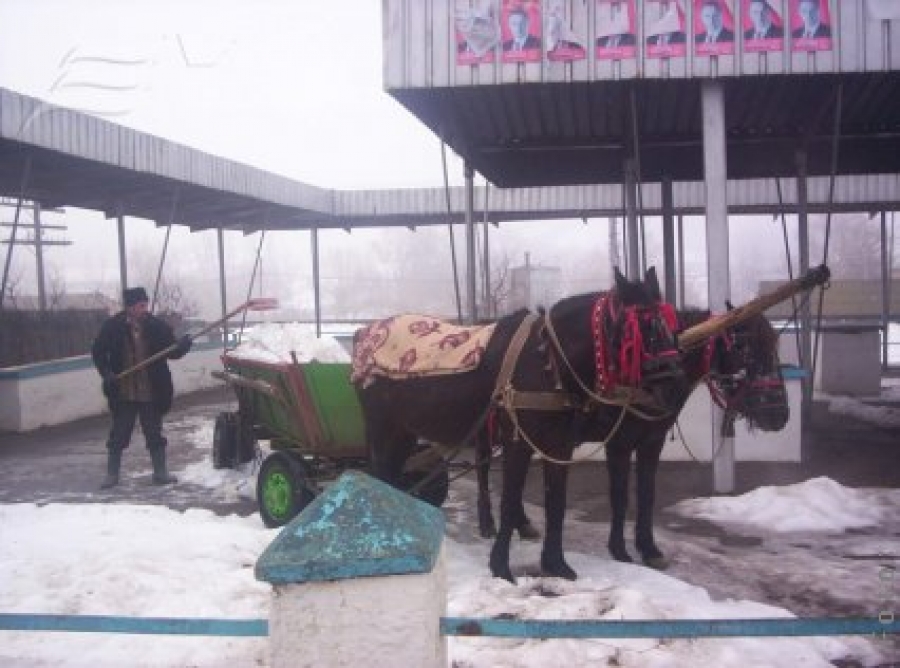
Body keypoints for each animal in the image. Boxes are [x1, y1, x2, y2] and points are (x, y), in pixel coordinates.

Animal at [354, 268, 688, 580]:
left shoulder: (559, 446)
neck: (548, 361)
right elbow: (511, 499)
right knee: (380, 476)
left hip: (404, 433)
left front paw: (556, 564)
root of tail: (365, 335)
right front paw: (501, 566)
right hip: (382, 428)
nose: (675, 386)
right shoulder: (518, 441)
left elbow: (556, 502)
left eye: (669, 326)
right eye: (641, 327)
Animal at [478, 306, 788, 568]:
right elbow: (620, 496)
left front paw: (649, 549)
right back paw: (487, 522)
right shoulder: (620, 444)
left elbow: (647, 494)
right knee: (484, 469)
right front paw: (619, 550)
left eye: (774, 347)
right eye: (744, 347)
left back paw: (521, 523)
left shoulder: (651, 443)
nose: (780, 414)